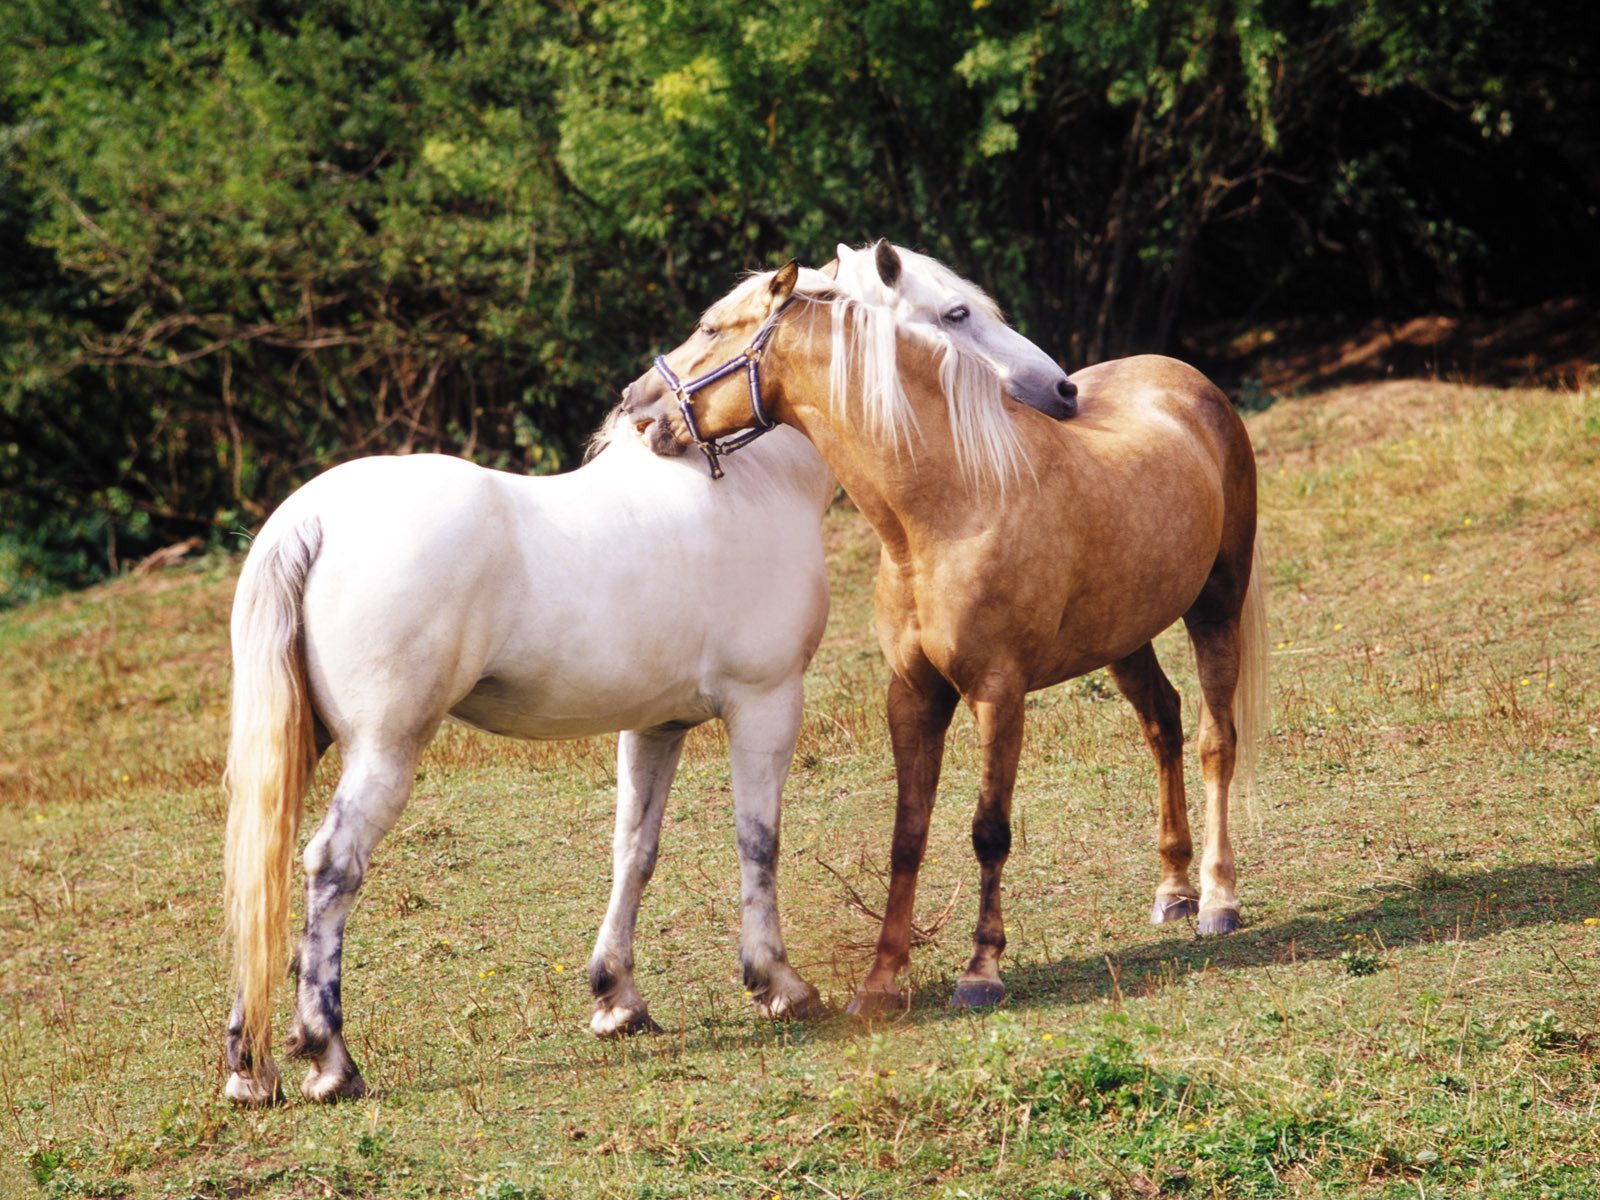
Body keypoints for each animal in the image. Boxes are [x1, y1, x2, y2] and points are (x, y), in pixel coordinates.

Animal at [220, 422, 838, 1107]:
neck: (754, 477)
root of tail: (312, 519)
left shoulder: (655, 725)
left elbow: (634, 852)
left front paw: (618, 999)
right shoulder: (766, 703)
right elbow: (759, 844)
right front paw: (780, 983)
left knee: (260, 876)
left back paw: (251, 1070)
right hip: (384, 752)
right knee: (331, 866)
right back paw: (330, 1059)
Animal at [617, 241, 1267, 1017]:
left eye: (712, 329)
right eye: (957, 313)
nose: (636, 404)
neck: (950, 503)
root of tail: (1186, 379)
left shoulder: (997, 693)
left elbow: (989, 830)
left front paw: (981, 970)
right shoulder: (914, 695)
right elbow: (908, 834)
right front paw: (880, 981)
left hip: (1215, 606)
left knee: (1214, 741)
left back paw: (1218, 899)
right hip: (1123, 635)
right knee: (1162, 723)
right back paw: (1173, 890)